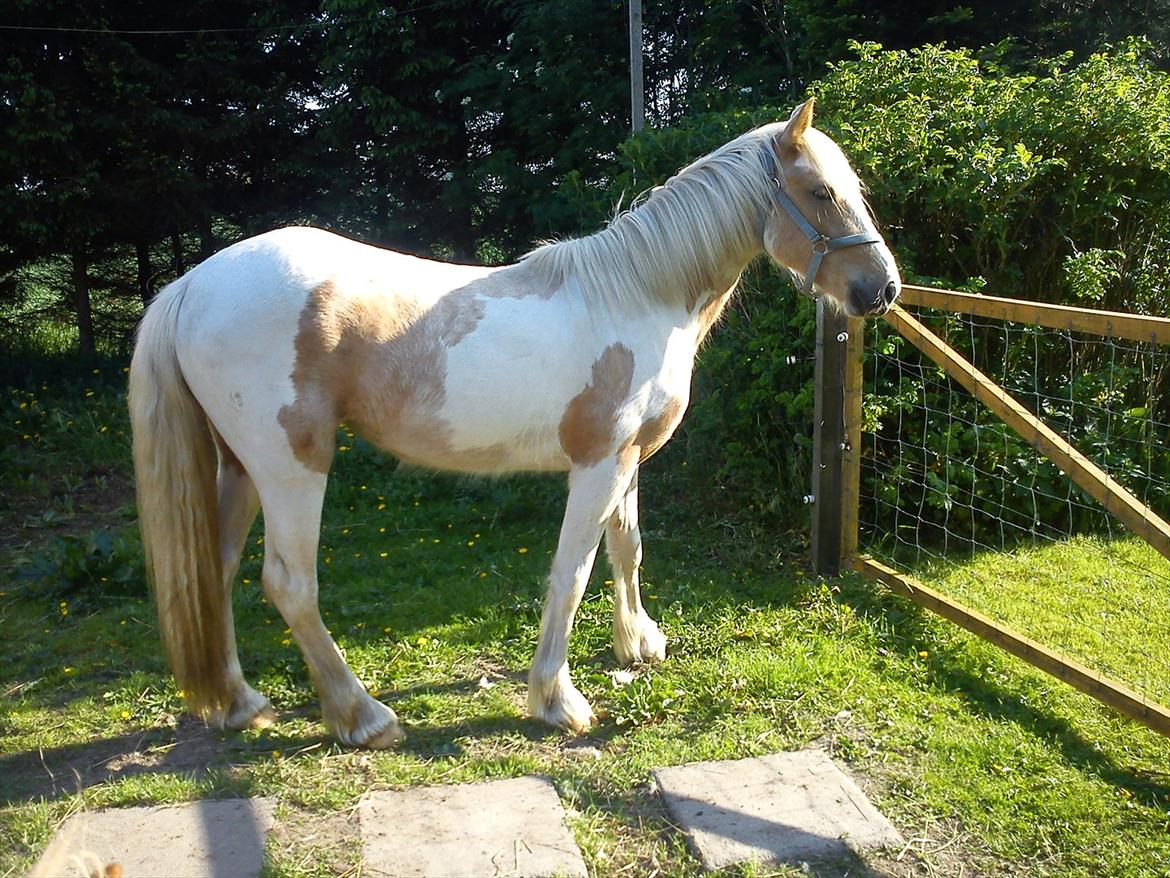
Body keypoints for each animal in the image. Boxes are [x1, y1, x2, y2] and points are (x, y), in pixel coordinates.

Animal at [128, 101, 898, 749]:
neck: (638, 295)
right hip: (292, 465)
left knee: (214, 570)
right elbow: (572, 570)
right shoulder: (597, 464)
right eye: (820, 192)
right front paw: (557, 700)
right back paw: (363, 716)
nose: (881, 289)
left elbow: (627, 549)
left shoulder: (627, 460)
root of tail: (190, 286)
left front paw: (637, 644)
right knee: (290, 584)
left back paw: (237, 703)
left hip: (238, 466)